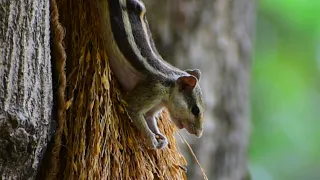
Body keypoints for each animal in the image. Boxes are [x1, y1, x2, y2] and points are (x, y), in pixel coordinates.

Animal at [96, 0, 205, 149]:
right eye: (195, 110)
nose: (199, 134)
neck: (168, 87)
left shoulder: (156, 106)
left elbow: (149, 119)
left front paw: (161, 138)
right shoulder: (153, 90)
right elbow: (133, 109)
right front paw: (151, 139)